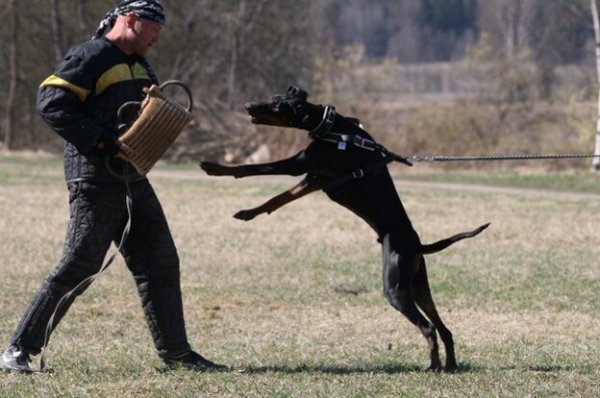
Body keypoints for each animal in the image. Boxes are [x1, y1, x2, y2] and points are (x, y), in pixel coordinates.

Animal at [199, 85, 490, 372]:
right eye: (273, 98)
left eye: (277, 106)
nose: (248, 105)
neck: (332, 126)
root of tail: (419, 245)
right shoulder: (312, 180)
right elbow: (278, 199)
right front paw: (248, 213)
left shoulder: (298, 165)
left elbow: (252, 168)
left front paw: (214, 167)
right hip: (419, 287)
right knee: (444, 328)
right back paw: (450, 365)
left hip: (395, 288)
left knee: (428, 328)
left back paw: (433, 367)